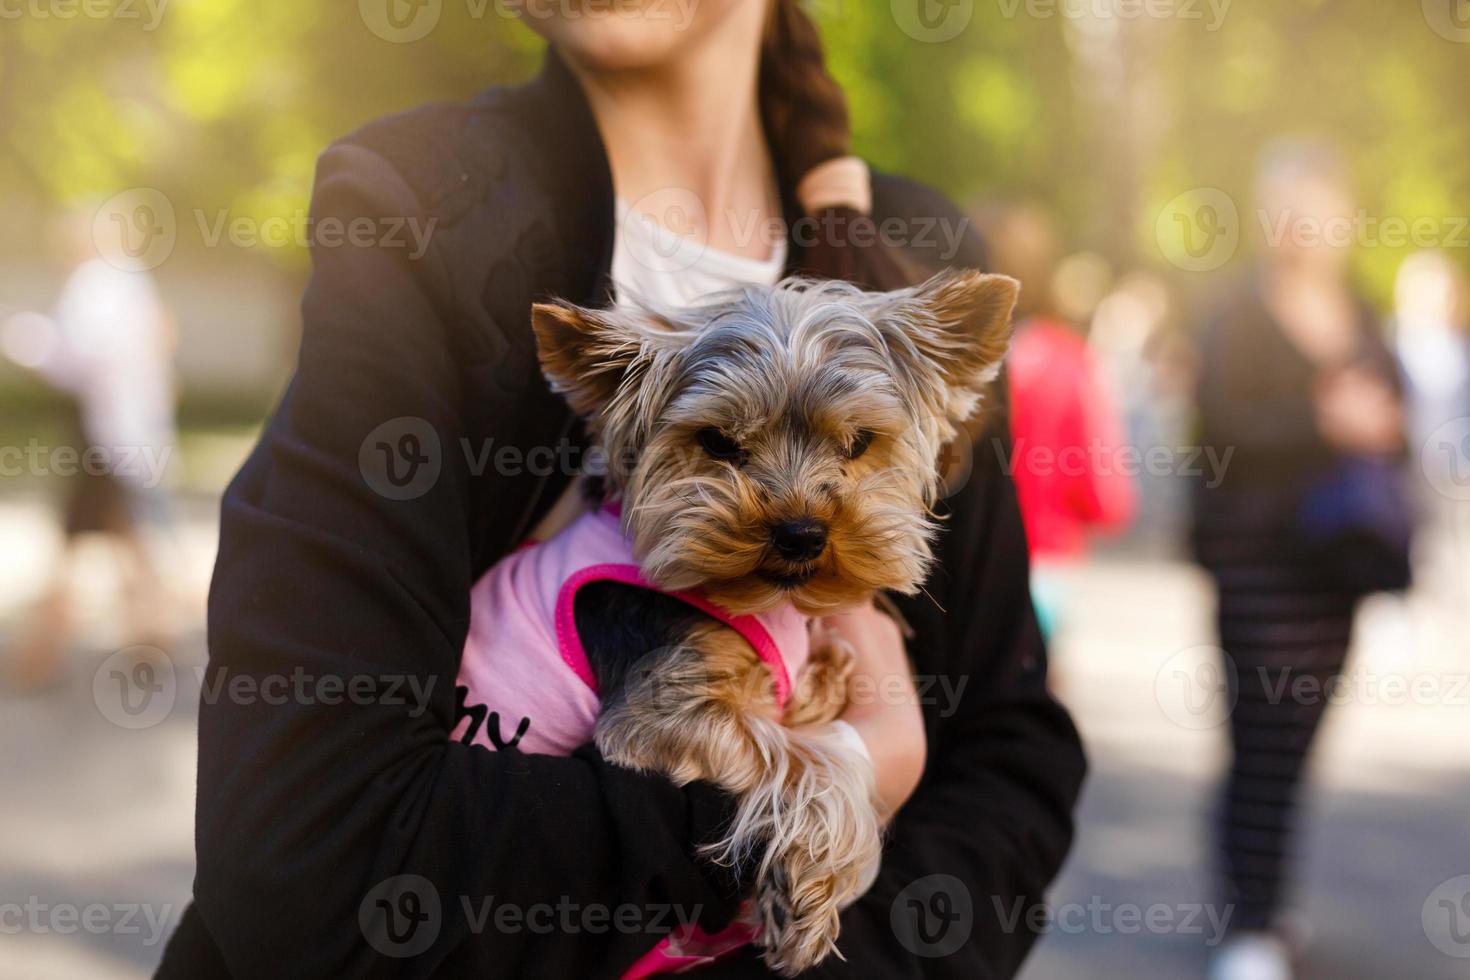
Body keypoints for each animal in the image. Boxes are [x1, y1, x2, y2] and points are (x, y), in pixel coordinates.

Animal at [452, 265, 1017, 975]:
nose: (802, 534)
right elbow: (808, 755)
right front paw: (809, 890)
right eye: (718, 444)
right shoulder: (655, 714)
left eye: (859, 442)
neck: (752, 598)